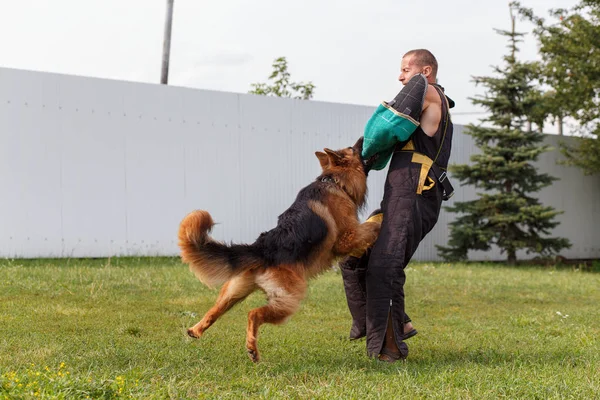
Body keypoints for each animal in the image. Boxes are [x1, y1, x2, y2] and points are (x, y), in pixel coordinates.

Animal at [176, 137, 380, 362]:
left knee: (215, 310)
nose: (364, 138)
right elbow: (369, 228)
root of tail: (261, 249)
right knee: (253, 314)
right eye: (353, 148)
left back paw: (196, 330)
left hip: (234, 292)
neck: (335, 181)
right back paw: (252, 349)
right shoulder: (346, 238)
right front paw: (380, 222)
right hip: (290, 298)